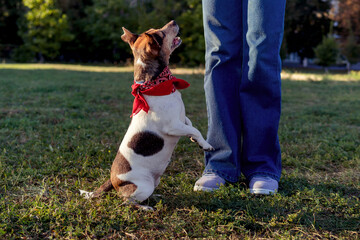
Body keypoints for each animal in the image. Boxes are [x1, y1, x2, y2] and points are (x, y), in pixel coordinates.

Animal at [81, 20, 214, 210]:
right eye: (161, 34)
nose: (174, 21)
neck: (155, 84)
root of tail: (112, 181)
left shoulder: (182, 119)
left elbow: (191, 125)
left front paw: (197, 141)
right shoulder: (172, 126)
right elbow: (195, 129)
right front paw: (206, 145)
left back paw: (155, 197)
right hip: (144, 186)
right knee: (127, 202)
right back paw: (145, 207)